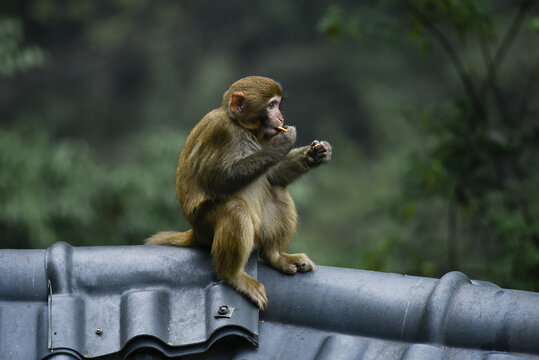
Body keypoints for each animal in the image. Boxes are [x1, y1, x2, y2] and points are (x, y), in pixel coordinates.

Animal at [148, 75, 334, 310]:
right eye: (271, 105)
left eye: (278, 105)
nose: (280, 116)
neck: (241, 126)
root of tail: (195, 230)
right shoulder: (221, 132)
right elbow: (216, 180)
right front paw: (281, 144)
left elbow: (272, 175)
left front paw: (315, 154)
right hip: (206, 226)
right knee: (235, 209)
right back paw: (233, 275)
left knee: (278, 190)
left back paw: (275, 256)